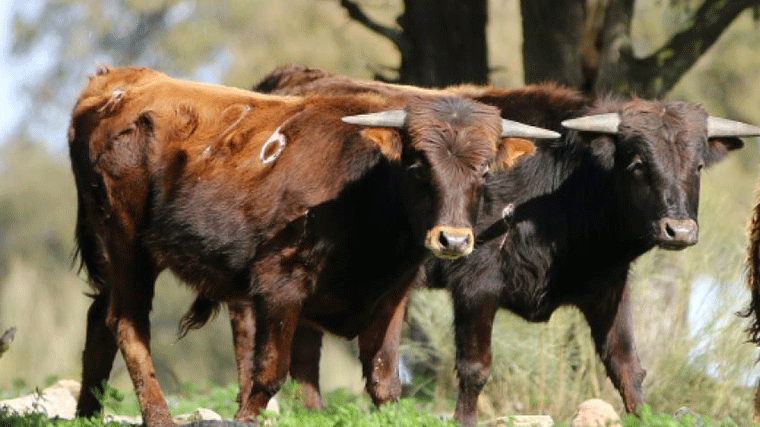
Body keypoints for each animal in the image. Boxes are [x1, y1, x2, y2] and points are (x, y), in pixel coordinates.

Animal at [70, 65, 552, 426]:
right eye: (418, 165)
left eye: (485, 171)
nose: (452, 238)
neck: (366, 192)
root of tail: (116, 82)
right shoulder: (279, 287)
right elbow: (267, 374)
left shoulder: (390, 298)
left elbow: (384, 383)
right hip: (126, 245)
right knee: (128, 326)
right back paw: (158, 416)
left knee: (99, 319)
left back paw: (86, 413)